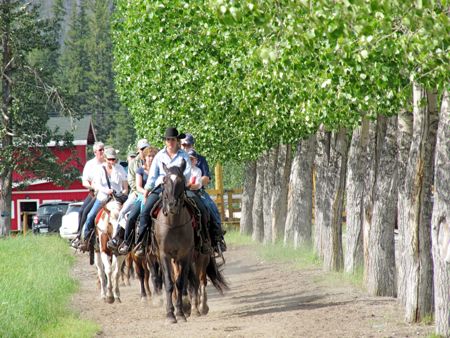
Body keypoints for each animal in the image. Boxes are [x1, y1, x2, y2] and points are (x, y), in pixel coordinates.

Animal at [153, 160, 199, 324]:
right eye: (164, 180)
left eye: (181, 181)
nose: (172, 204)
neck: (173, 225)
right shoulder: (164, 254)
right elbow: (168, 282)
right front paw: (170, 314)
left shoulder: (185, 255)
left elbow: (179, 282)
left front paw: (180, 313)